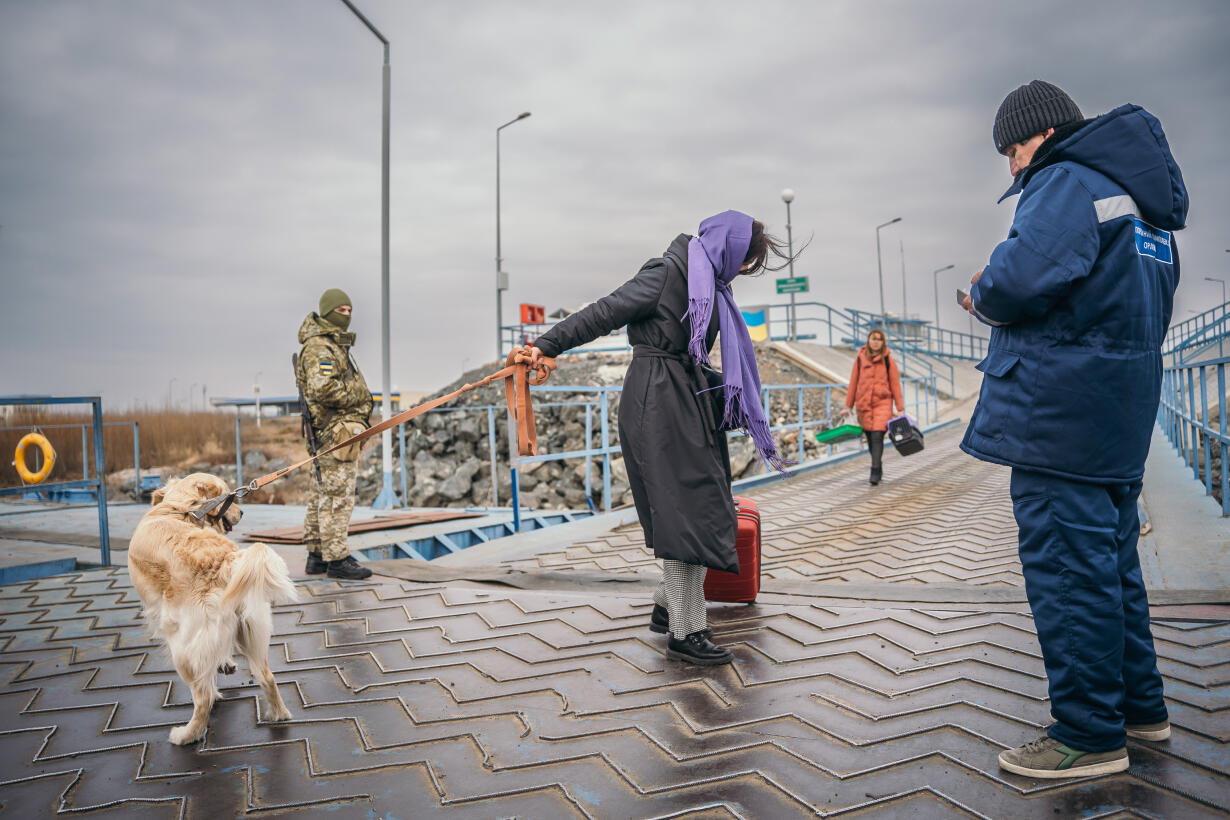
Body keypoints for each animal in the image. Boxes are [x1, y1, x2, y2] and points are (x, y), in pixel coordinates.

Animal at [127, 472, 297, 747]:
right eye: (229, 496)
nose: (242, 513)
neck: (181, 508)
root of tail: (225, 561)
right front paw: (225, 664)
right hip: (251, 631)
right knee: (267, 677)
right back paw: (278, 715)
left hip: (181, 649)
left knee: (203, 695)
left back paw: (186, 735)